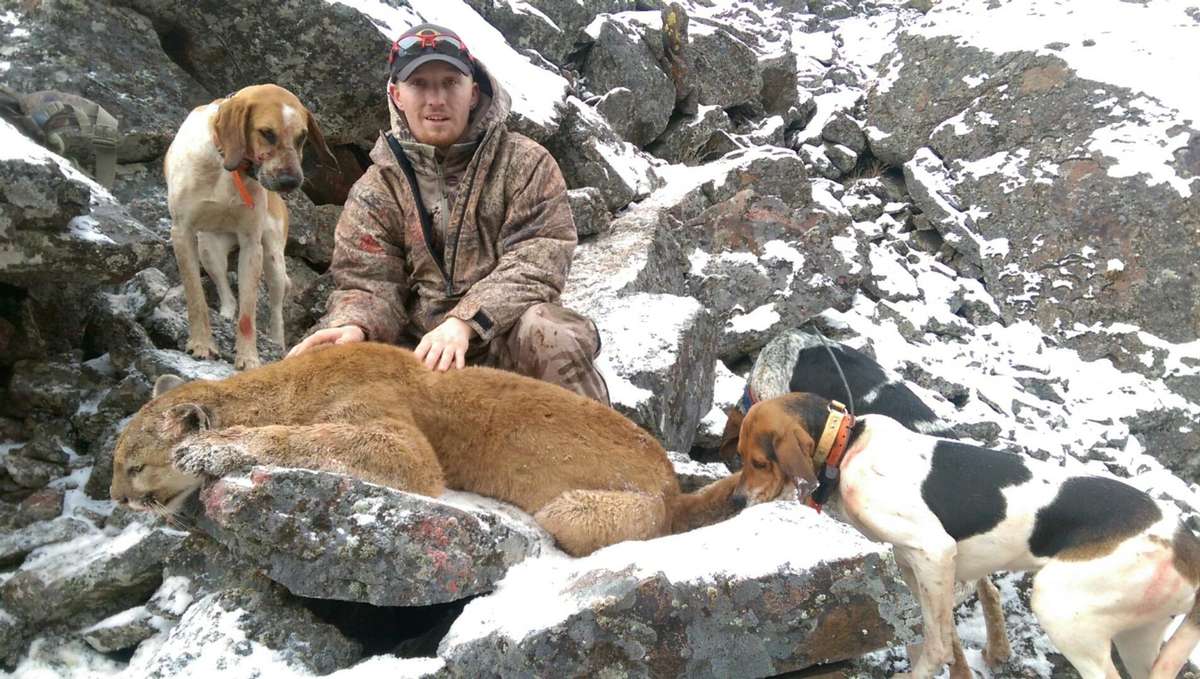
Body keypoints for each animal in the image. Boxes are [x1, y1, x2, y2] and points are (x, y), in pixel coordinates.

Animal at [163, 85, 333, 371]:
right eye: (267, 133)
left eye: (302, 137)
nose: (291, 181)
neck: (227, 166)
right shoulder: (182, 234)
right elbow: (196, 296)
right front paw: (201, 344)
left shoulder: (251, 245)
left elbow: (248, 313)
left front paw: (249, 357)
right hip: (208, 250)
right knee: (227, 294)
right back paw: (224, 315)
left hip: (273, 260)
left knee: (276, 308)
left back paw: (276, 342)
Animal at [729, 393, 1200, 679]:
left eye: (757, 461)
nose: (735, 500)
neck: (846, 448)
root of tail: (1184, 540)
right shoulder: (918, 565)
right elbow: (943, 634)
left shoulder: (934, 552)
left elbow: (937, 645)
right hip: (1138, 634)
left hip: (1062, 608)